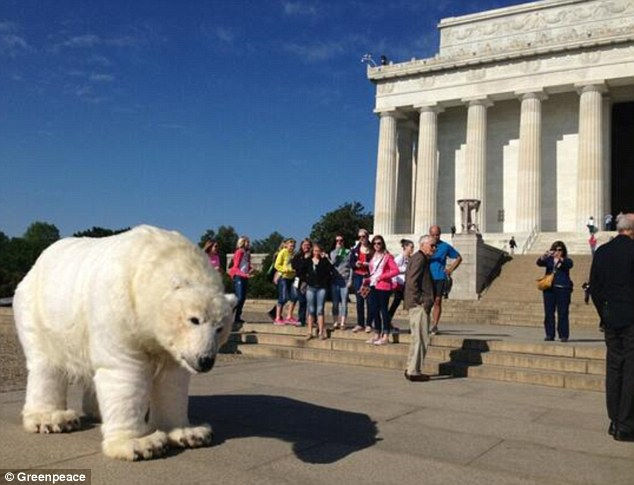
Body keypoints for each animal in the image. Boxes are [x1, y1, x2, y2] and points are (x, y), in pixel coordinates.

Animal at [13, 225, 236, 460]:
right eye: (194, 319)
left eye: (220, 328)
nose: (205, 361)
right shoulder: (120, 305)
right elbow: (125, 370)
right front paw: (141, 444)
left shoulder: (170, 346)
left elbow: (171, 379)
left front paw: (188, 433)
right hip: (36, 312)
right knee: (46, 365)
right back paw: (52, 419)